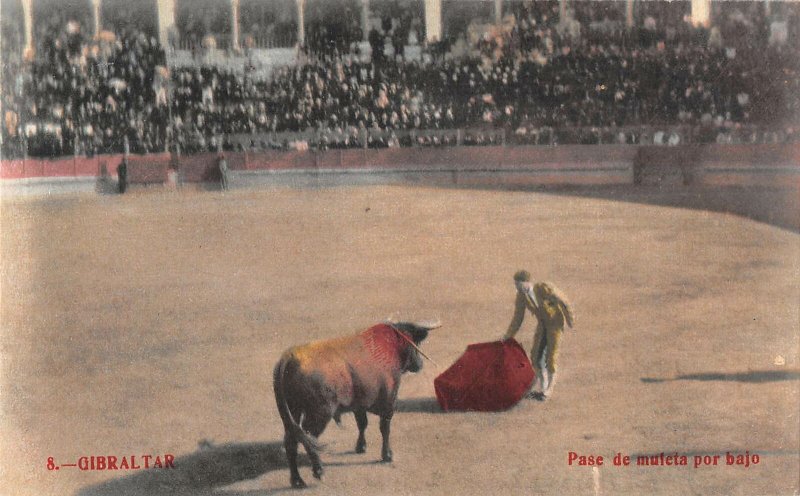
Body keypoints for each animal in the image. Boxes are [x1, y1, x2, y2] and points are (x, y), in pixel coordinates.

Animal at [274, 320, 438, 486]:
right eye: (414, 343)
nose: (420, 364)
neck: (389, 346)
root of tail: (289, 357)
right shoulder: (389, 402)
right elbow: (384, 429)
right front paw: (387, 455)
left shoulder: (359, 405)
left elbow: (362, 424)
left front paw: (361, 447)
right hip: (319, 415)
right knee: (309, 439)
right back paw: (318, 471)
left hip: (293, 411)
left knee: (291, 442)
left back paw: (297, 480)